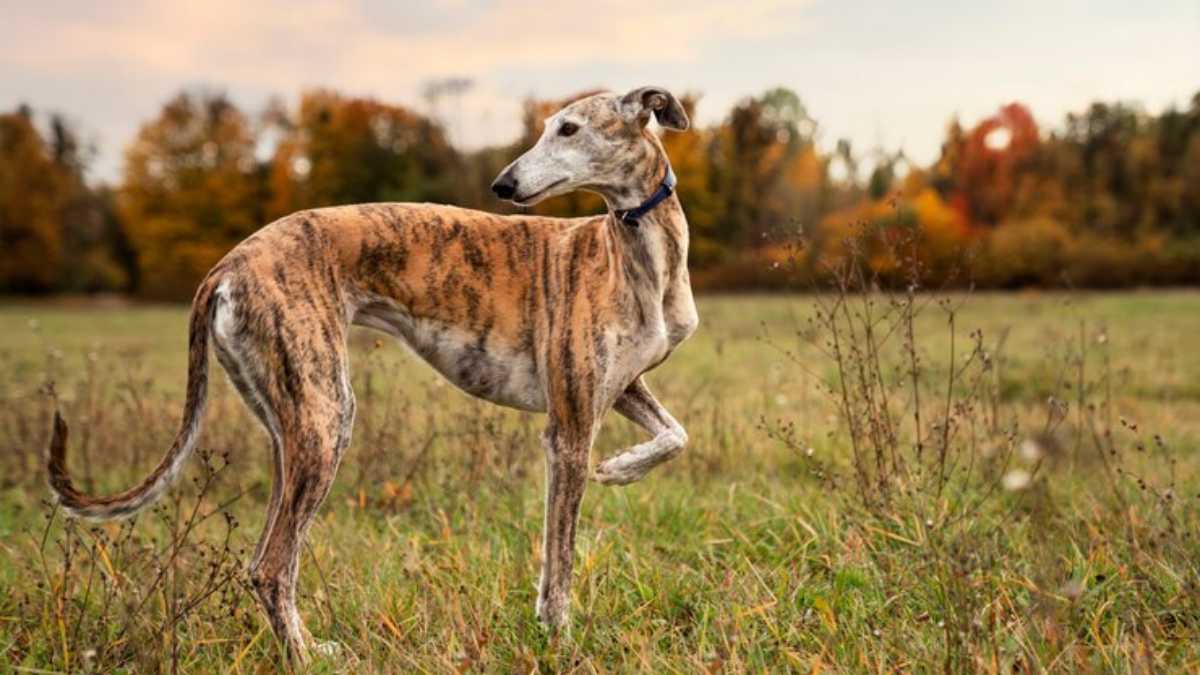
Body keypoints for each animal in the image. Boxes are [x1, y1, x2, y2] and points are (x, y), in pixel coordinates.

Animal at [46, 86, 700, 658]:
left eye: (569, 129)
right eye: (549, 127)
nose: (504, 184)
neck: (638, 252)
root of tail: (229, 263)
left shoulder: (620, 387)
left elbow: (676, 435)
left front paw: (621, 467)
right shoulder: (567, 429)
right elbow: (558, 562)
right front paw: (558, 639)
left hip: (292, 426)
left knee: (266, 560)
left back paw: (308, 646)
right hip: (326, 415)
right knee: (271, 566)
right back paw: (307, 657)